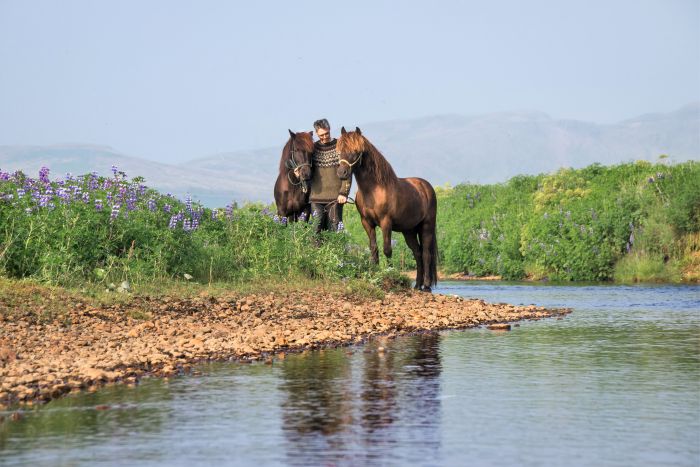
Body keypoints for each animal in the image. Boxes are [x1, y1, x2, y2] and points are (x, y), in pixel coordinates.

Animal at [334, 126, 438, 290]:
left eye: (356, 150)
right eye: (339, 150)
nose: (342, 173)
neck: (373, 190)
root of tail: (425, 187)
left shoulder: (386, 223)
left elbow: (387, 250)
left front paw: (389, 275)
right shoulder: (367, 223)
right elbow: (374, 249)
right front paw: (374, 275)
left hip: (427, 226)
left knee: (426, 253)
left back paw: (426, 286)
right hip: (409, 231)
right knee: (417, 253)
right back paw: (417, 285)